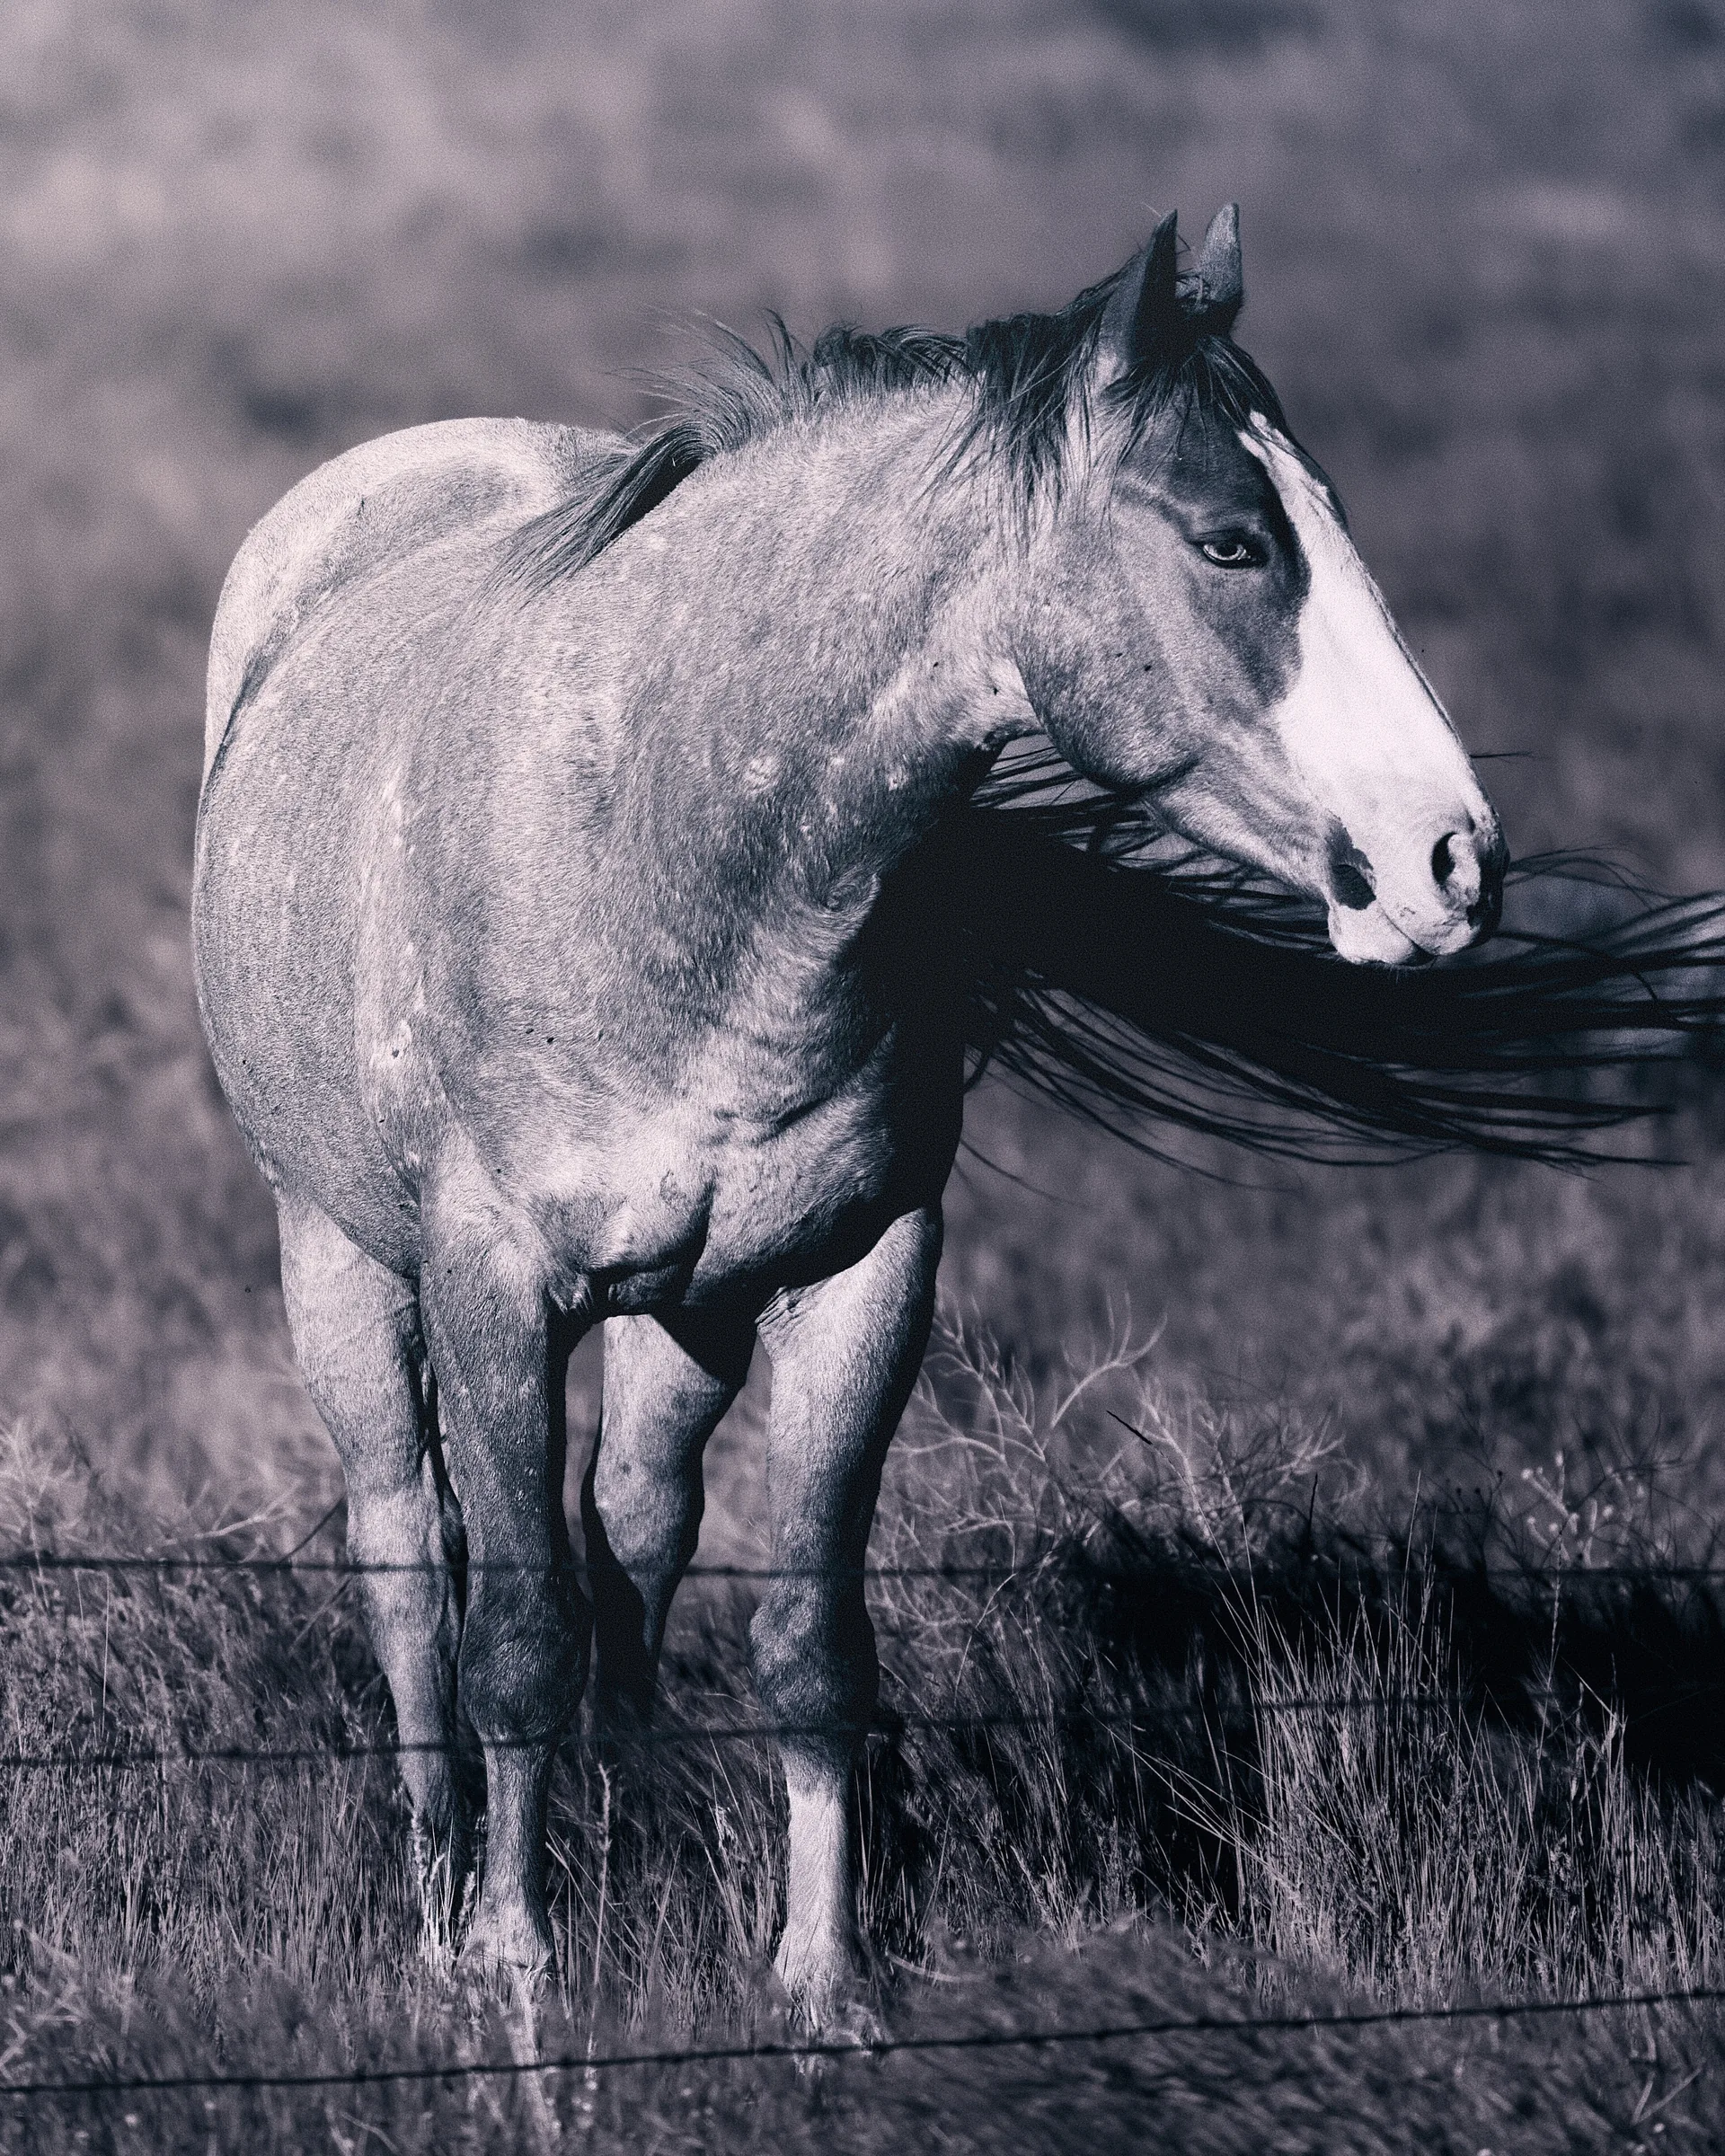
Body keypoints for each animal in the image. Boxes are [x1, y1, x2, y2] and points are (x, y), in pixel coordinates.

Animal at [191, 205, 1725, 2016]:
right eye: (1232, 544)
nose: (1454, 863)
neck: (659, 838)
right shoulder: (495, 1293)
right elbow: (512, 1636)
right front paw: (512, 1968)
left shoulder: (861, 1279)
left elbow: (809, 1645)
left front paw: (821, 1981)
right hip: (339, 1263)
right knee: (407, 1556)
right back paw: (445, 1900)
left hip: (688, 1317)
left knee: (635, 1528)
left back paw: (630, 1842)